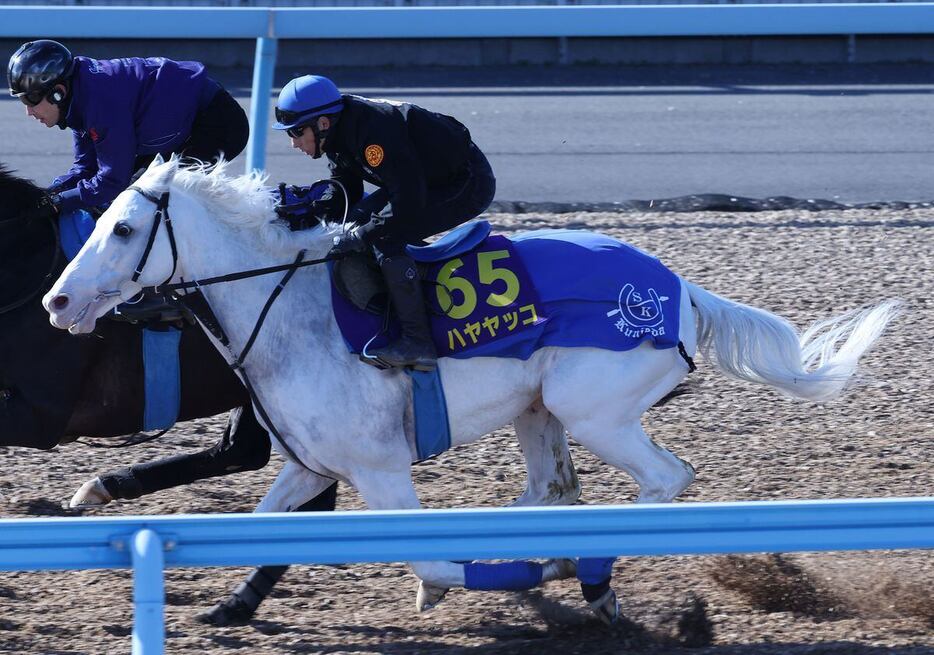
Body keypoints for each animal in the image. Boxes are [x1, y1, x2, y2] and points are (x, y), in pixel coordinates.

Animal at [42, 158, 900, 620]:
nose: (57, 301)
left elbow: (426, 561)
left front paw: (492, 581)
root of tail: (679, 290)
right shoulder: (310, 463)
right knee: (551, 489)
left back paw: (587, 571)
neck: (290, 309)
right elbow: (260, 529)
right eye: (99, 219)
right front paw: (230, 604)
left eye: (123, 229)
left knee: (666, 478)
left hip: (597, 411)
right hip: (540, 411)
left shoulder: (381, 471)